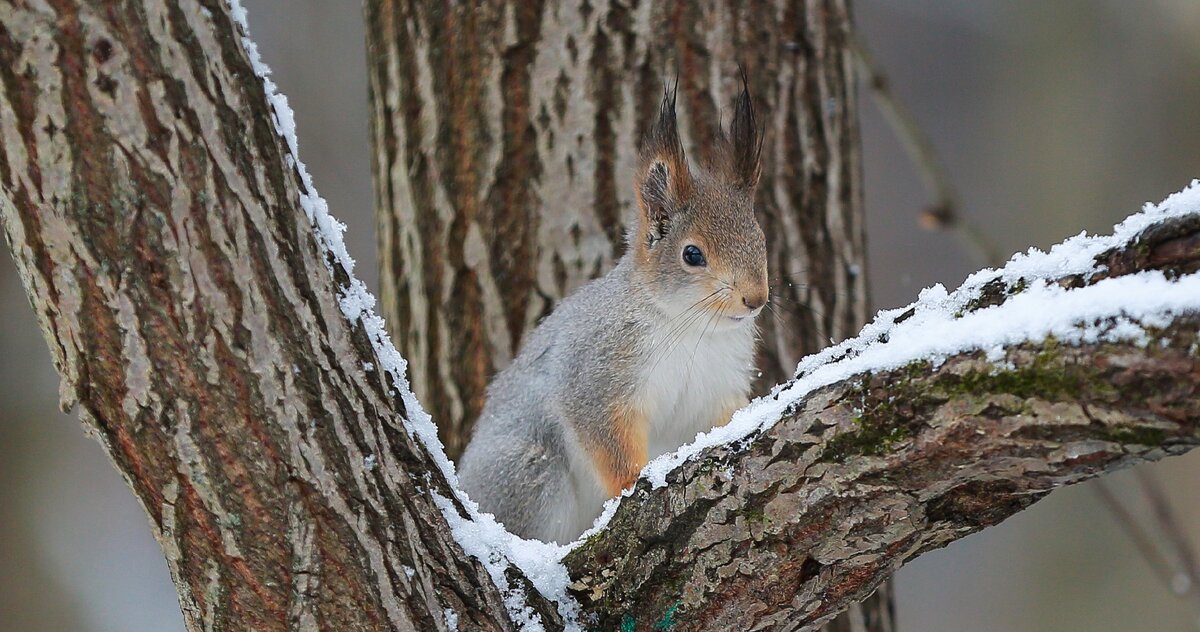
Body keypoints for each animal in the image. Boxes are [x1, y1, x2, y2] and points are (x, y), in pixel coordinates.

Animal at [453, 79, 763, 544]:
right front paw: (634, 483)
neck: (691, 328)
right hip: (530, 476)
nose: (756, 298)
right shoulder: (598, 373)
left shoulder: (717, 387)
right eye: (692, 254)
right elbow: (606, 440)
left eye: (760, 239)